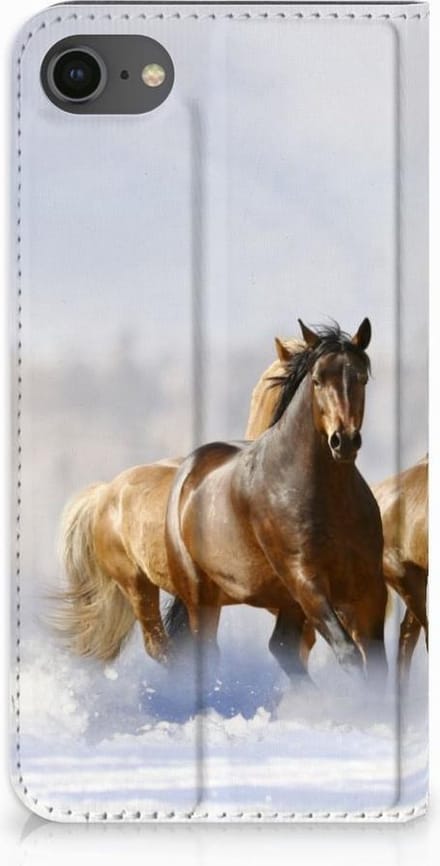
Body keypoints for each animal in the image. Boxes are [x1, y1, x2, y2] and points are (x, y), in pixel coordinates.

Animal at [164, 319, 388, 680]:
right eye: (317, 380)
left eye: (361, 378)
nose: (343, 441)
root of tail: (189, 470)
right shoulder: (306, 581)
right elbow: (348, 653)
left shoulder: (369, 587)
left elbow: (377, 664)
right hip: (202, 595)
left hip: (283, 601)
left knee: (282, 647)